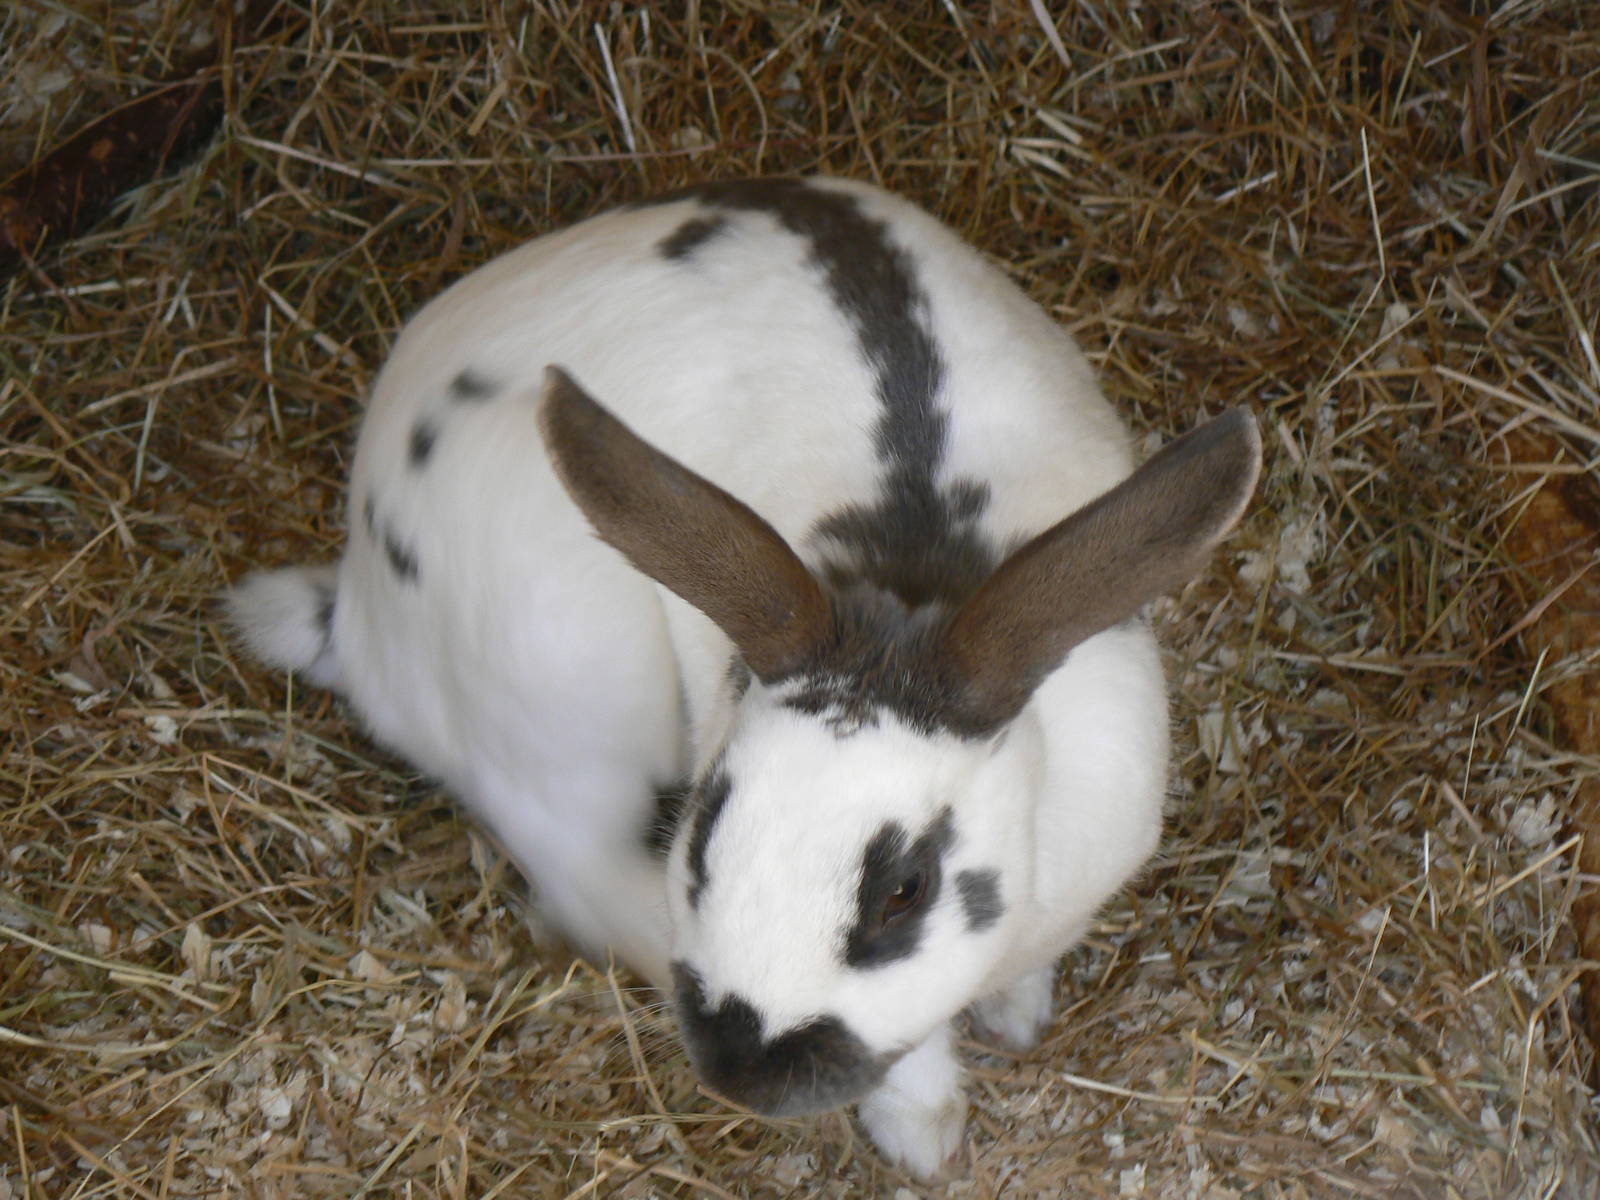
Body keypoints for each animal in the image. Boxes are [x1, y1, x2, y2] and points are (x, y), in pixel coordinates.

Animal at [227, 176, 1260, 1179]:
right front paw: (927, 1140)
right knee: (587, 880)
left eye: (905, 890)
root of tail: (358, 603)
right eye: (707, 828)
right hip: (561, 688)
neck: (906, 581)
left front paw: (1016, 1018)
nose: (742, 1067)